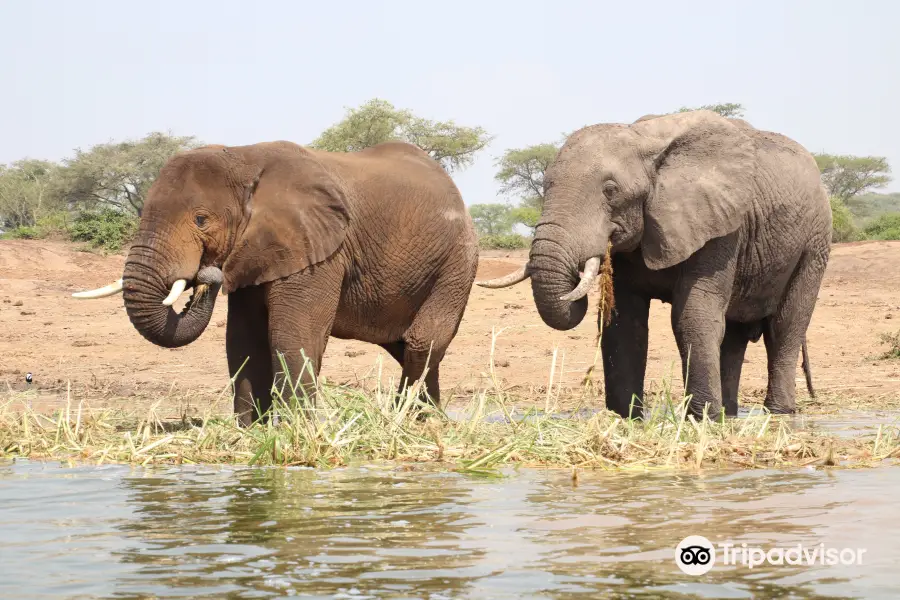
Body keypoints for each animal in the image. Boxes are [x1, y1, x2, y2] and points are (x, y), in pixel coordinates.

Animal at [74, 139, 478, 424]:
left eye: (201, 220)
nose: (205, 276)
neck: (243, 158)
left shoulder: (318, 249)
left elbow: (290, 336)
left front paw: (297, 428)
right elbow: (243, 340)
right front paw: (251, 430)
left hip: (457, 262)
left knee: (422, 341)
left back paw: (409, 419)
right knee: (406, 346)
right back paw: (430, 419)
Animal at [478, 110, 828, 420]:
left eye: (610, 190)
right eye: (545, 185)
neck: (644, 143)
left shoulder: (722, 227)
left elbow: (693, 316)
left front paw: (701, 419)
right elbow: (623, 321)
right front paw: (626, 418)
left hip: (814, 244)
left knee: (785, 326)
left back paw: (778, 414)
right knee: (733, 336)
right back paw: (729, 414)